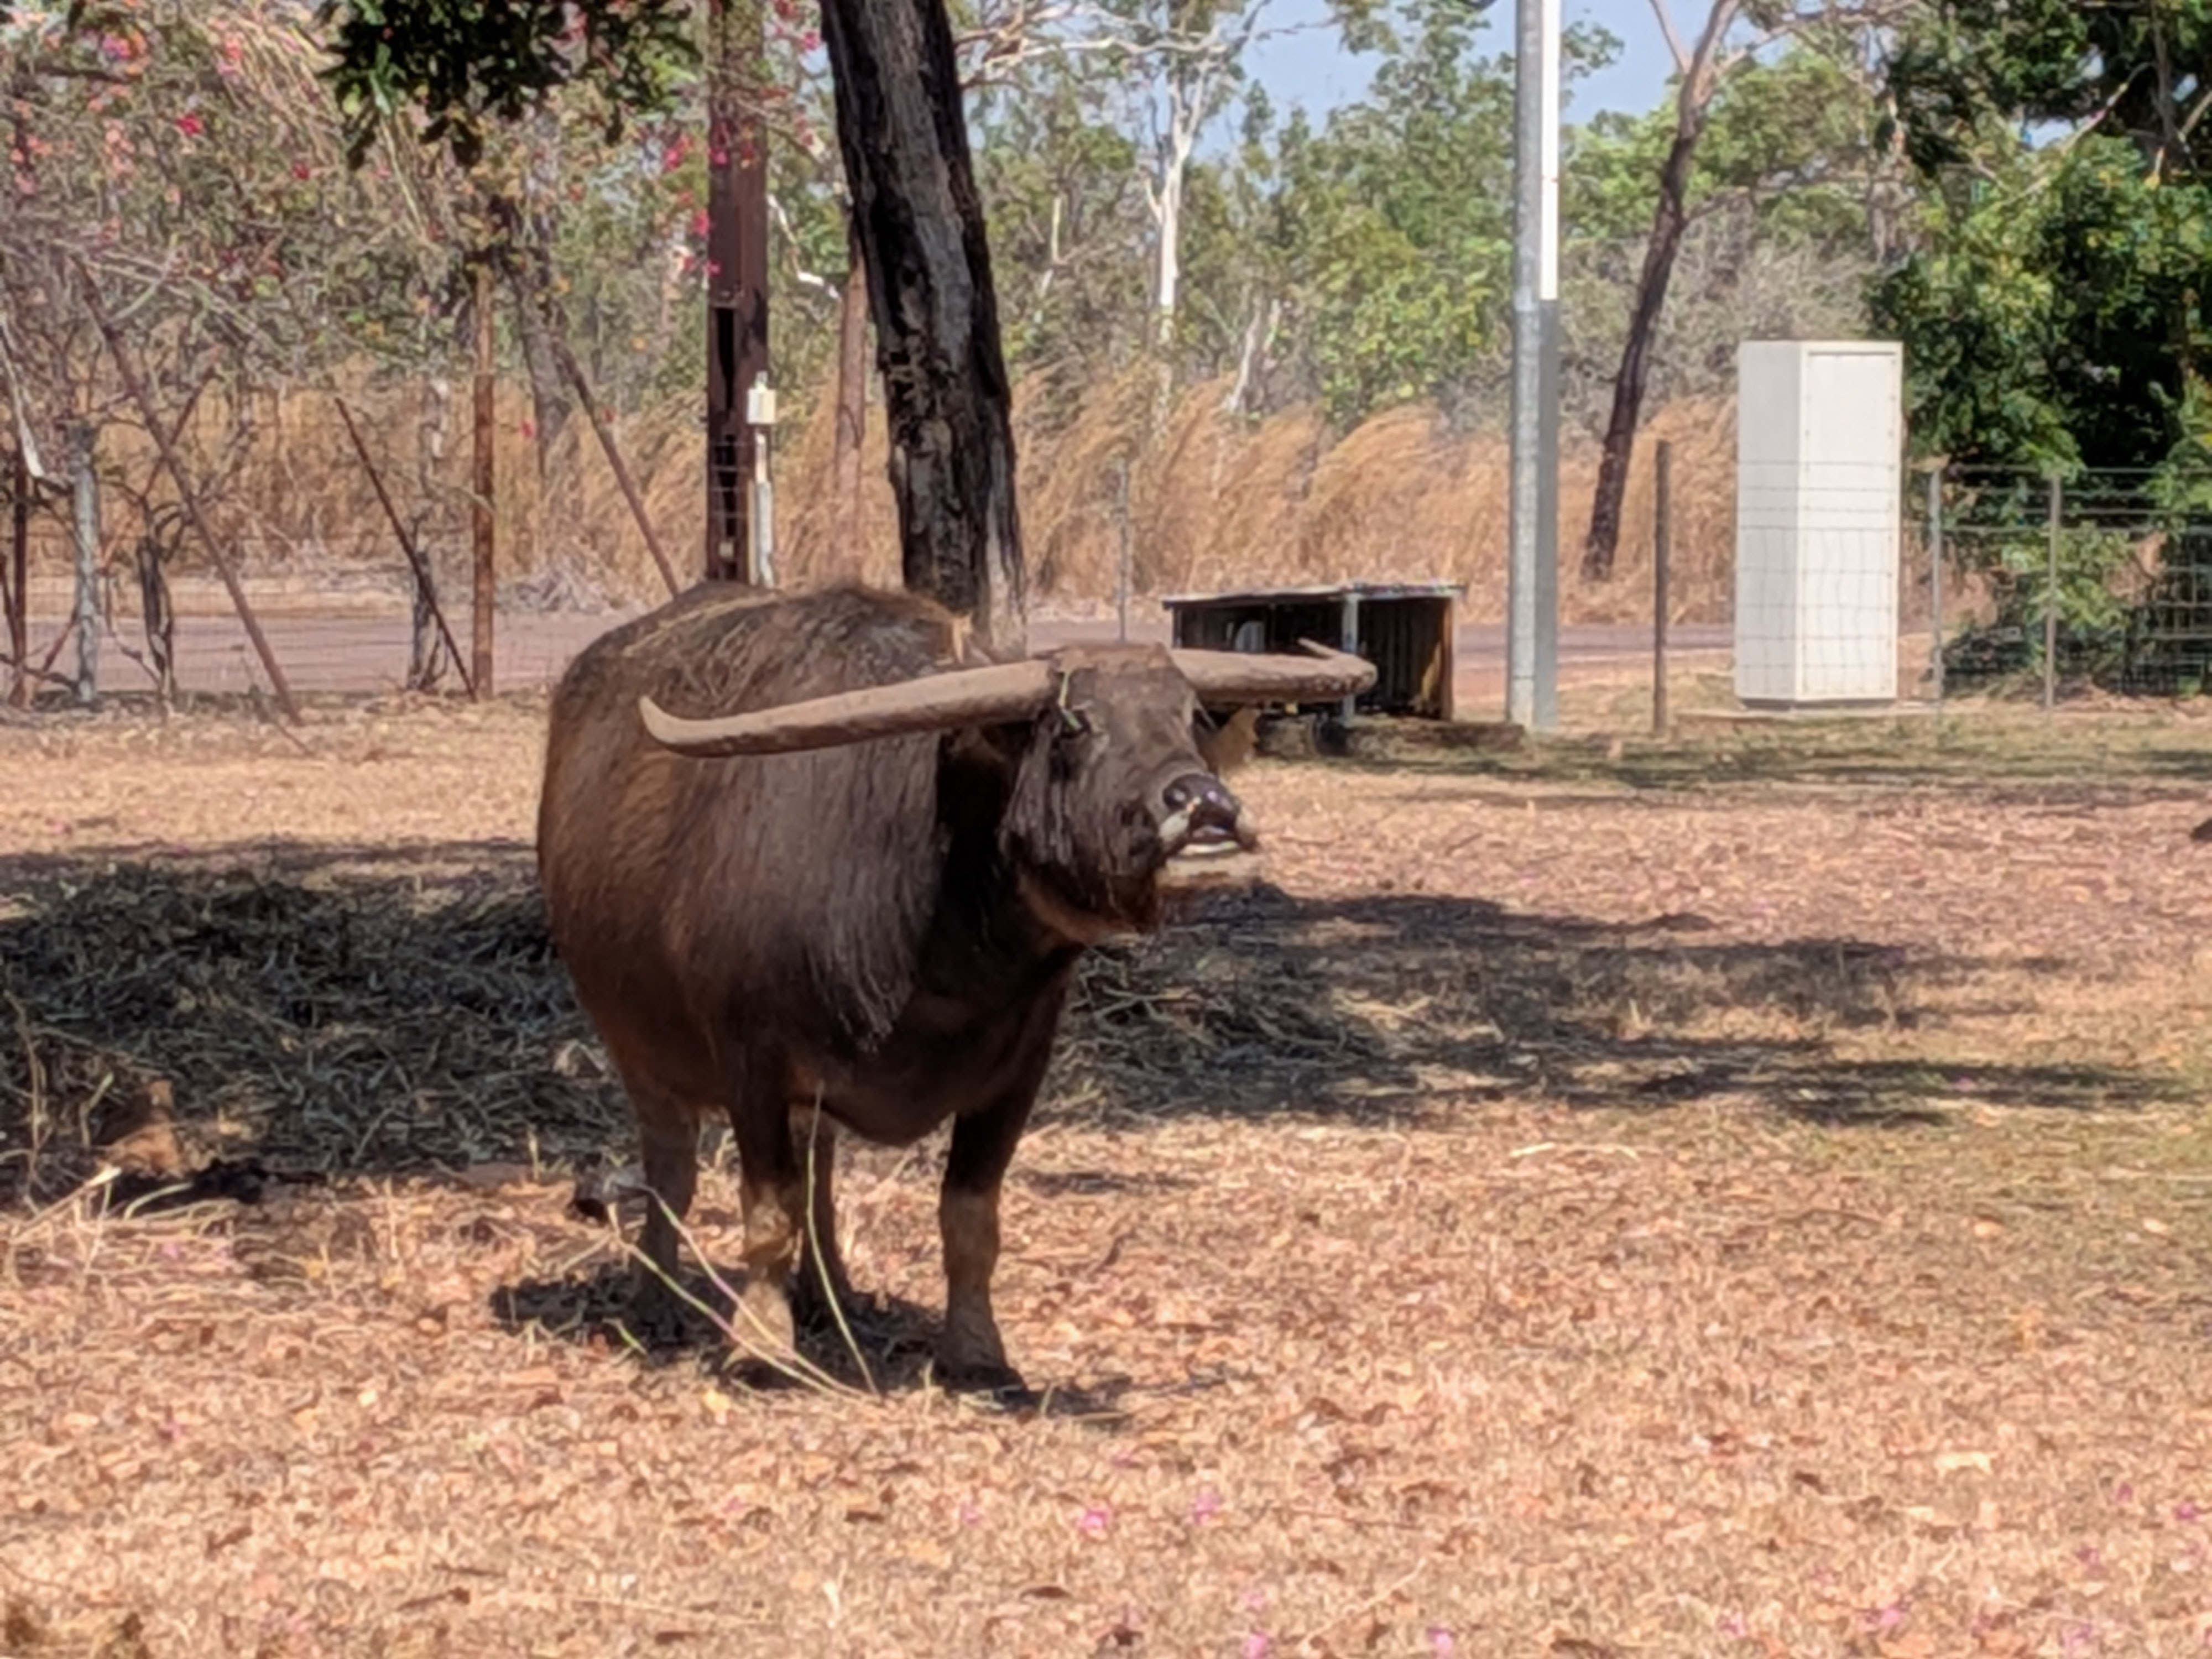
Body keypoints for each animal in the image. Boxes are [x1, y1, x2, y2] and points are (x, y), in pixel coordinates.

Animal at [537, 583, 1372, 1391]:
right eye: (1073, 723)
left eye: (1191, 717)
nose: (1203, 804)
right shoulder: (752, 1062)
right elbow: (767, 1213)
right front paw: (759, 1348)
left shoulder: (1017, 1073)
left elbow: (969, 1218)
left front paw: (977, 1351)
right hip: (637, 1049)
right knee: (671, 1167)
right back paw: (657, 1301)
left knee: (820, 1170)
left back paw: (831, 1295)